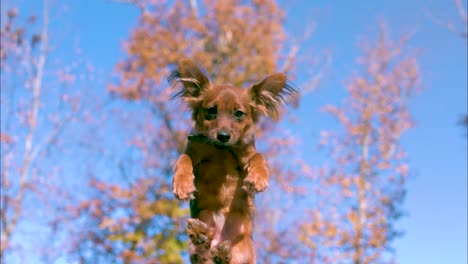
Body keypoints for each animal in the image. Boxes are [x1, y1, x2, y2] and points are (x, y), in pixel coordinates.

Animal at [170, 58, 298, 262]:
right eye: (211, 111)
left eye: (239, 114)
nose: (223, 136)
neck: (221, 151)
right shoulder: (193, 151)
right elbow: (183, 160)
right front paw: (183, 184)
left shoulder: (246, 154)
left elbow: (258, 156)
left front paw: (258, 178)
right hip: (196, 246)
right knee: (204, 250)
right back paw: (201, 234)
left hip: (244, 250)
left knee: (222, 257)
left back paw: (221, 251)